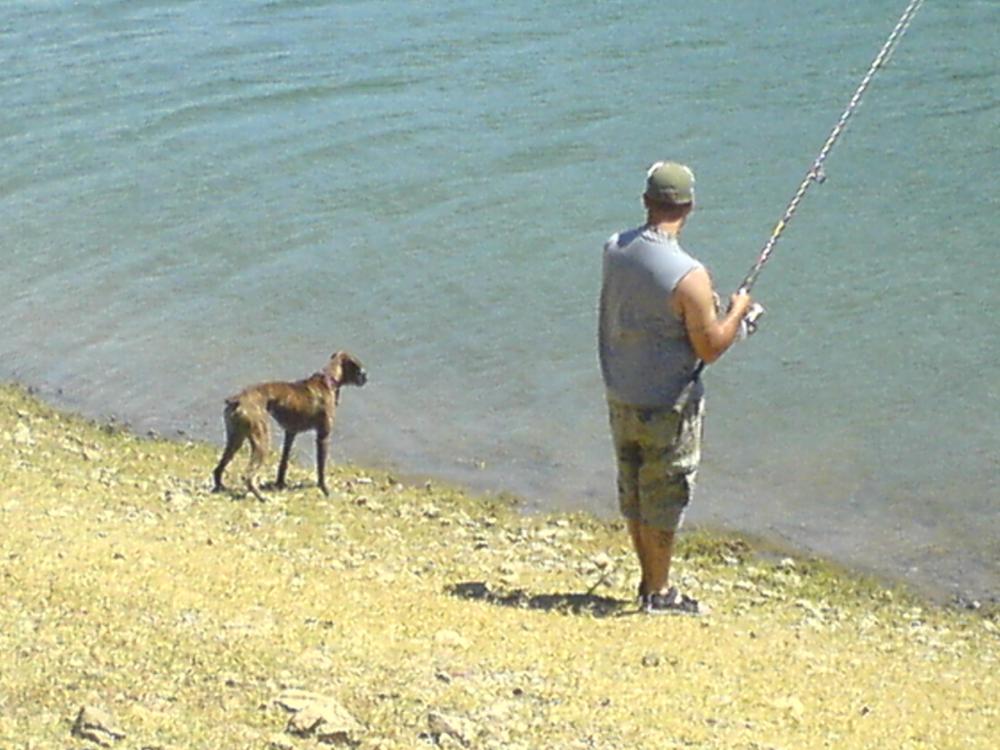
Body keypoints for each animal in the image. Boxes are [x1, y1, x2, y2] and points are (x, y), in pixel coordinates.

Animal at [212, 352, 368, 502]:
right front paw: (325, 490)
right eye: (359, 368)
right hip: (261, 441)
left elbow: (283, 462)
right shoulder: (323, 437)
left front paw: (280, 483)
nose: (366, 377)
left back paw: (220, 487)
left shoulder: (290, 434)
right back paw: (261, 497)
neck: (329, 380)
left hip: (235, 441)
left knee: (218, 468)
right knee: (247, 476)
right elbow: (321, 469)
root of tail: (237, 399)